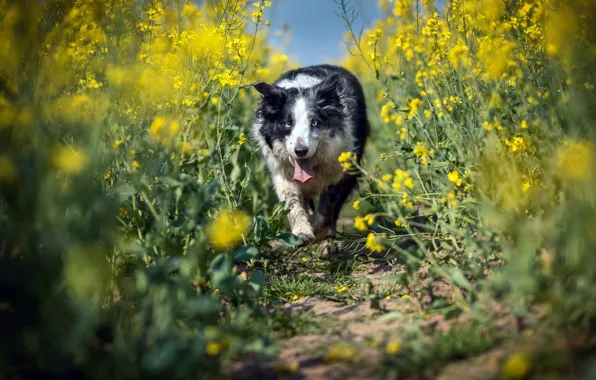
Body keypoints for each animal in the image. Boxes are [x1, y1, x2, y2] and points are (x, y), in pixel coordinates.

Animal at [250, 63, 368, 251]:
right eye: (287, 124)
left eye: (315, 123)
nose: (301, 150)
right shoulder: (282, 174)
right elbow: (292, 202)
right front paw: (302, 232)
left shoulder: (342, 170)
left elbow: (328, 206)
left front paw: (318, 230)